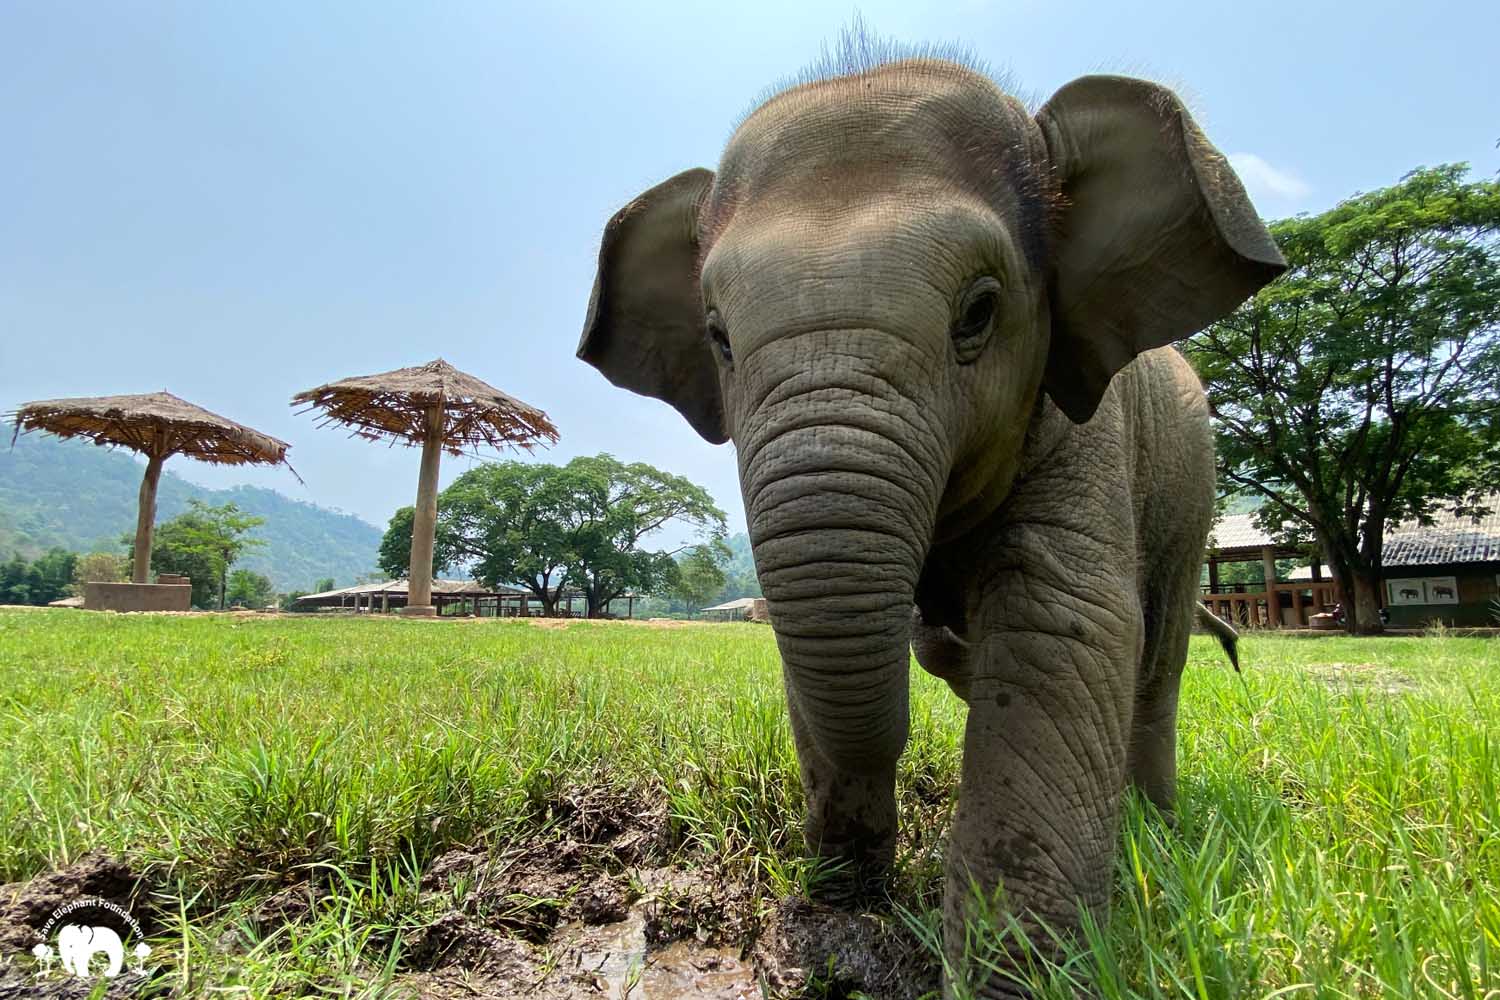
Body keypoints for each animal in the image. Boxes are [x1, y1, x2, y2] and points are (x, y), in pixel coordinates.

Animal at [577, 55, 1282, 996]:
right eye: (718, 337)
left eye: (978, 312)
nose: (835, 888)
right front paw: (843, 907)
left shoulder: (1081, 428)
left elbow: (1059, 631)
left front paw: (1016, 978)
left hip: (1189, 481)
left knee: (1156, 654)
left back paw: (1153, 832)